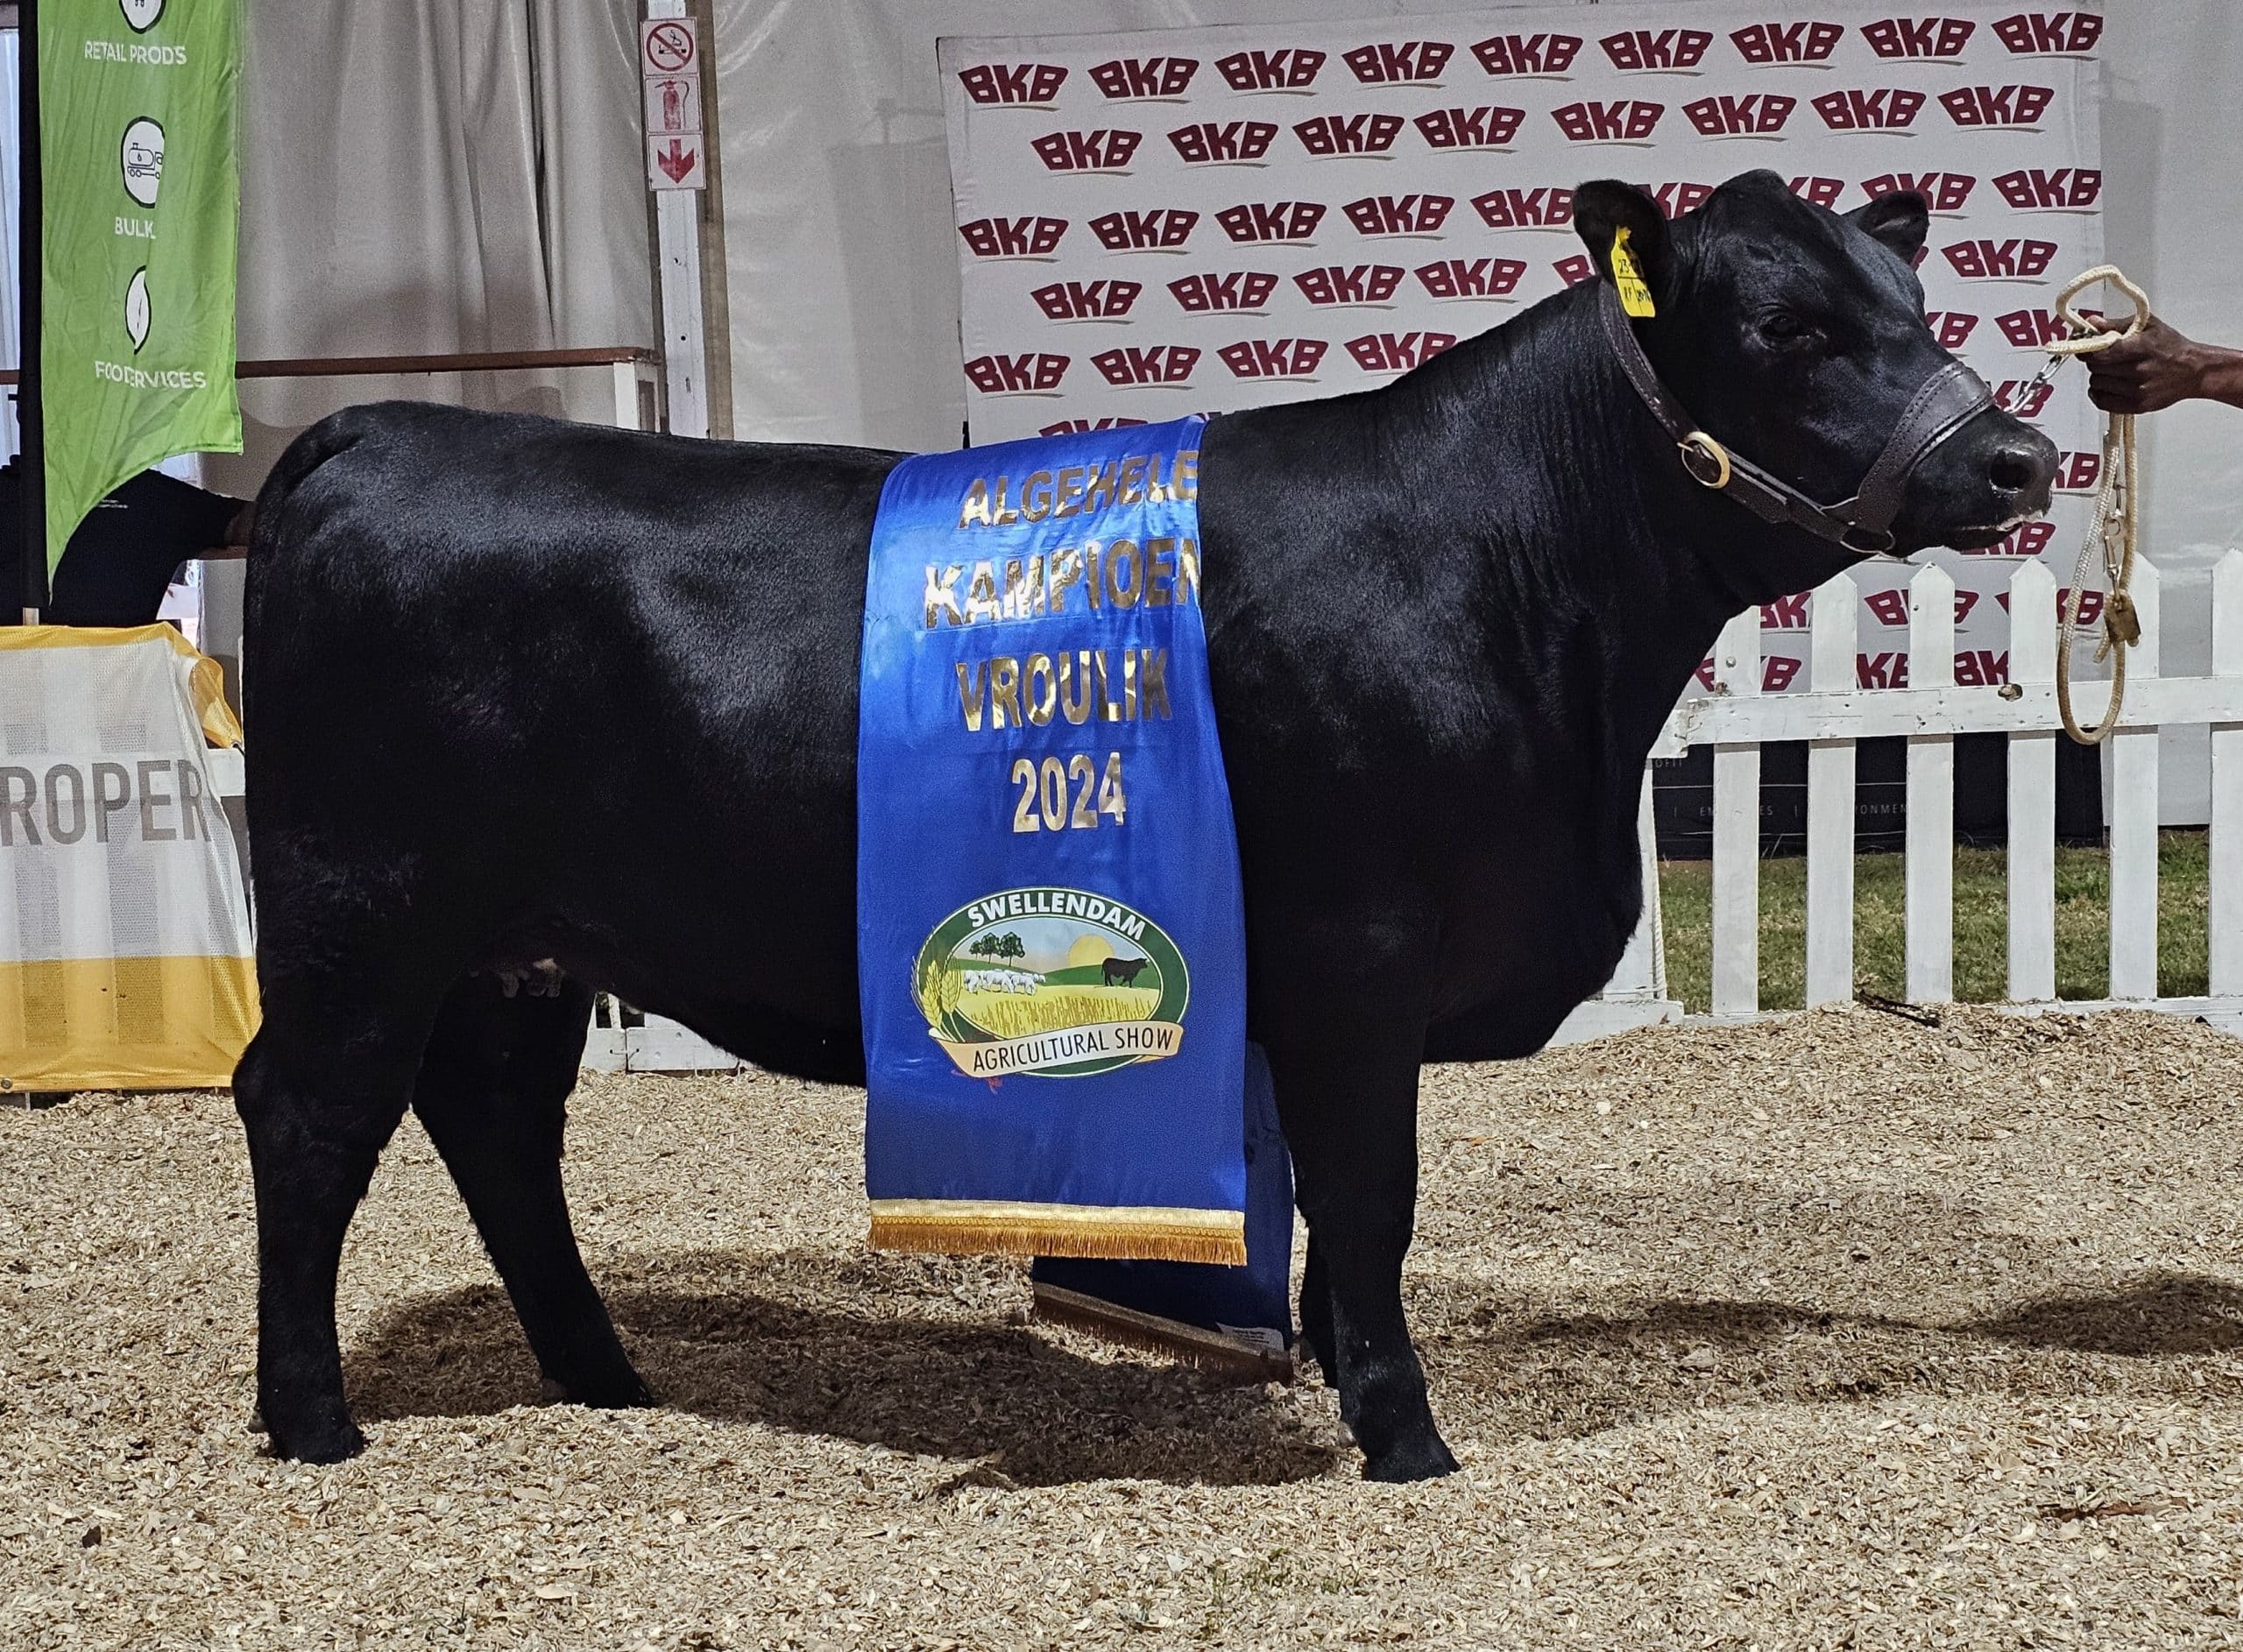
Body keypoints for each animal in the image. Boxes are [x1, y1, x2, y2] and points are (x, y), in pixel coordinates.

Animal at [231, 173, 2054, 1479]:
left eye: (1913, 302)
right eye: (1789, 325)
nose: (2023, 456)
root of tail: (374, 430)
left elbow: (1327, 1216)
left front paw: (1328, 1369)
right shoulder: (1358, 956)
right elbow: (1373, 1195)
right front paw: (1405, 1435)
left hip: (520, 945)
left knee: (494, 1125)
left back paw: (606, 1376)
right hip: (363, 902)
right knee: (311, 1115)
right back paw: (312, 1419)